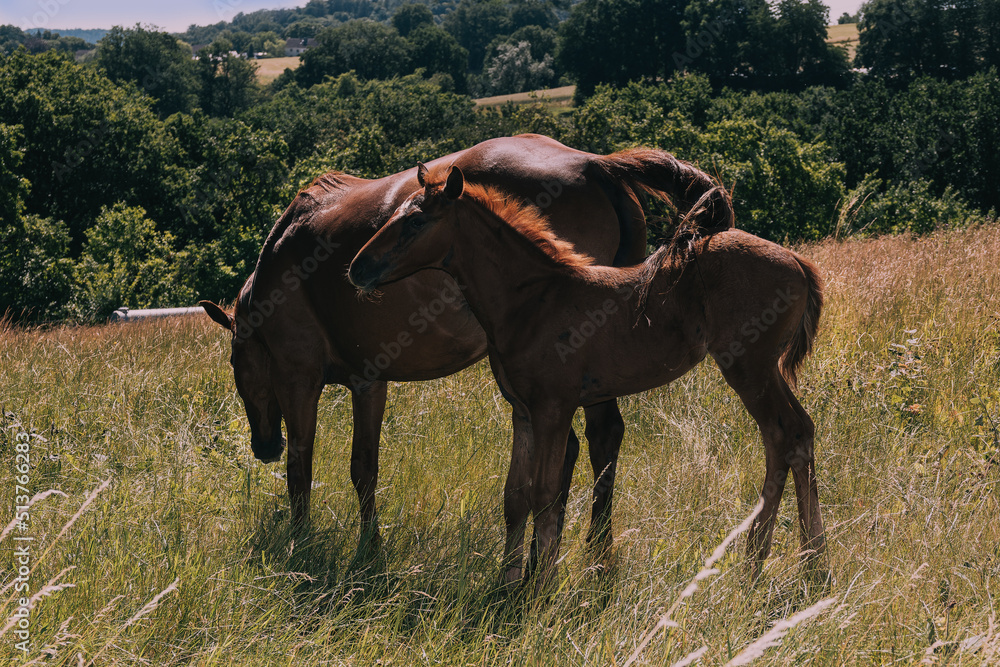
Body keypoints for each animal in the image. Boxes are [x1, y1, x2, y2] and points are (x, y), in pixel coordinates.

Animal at [199, 134, 735, 556]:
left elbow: (301, 467)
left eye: (238, 365)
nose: (263, 446)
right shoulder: (369, 381)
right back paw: (587, 557)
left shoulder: (298, 378)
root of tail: (596, 165)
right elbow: (363, 468)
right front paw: (369, 549)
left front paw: (302, 541)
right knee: (602, 441)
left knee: (583, 447)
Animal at [347, 162, 825, 590]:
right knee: (797, 433)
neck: (531, 298)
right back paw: (799, 565)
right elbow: (514, 496)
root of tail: (798, 261)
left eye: (415, 221)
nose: (357, 268)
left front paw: (540, 589)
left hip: (748, 367)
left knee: (783, 435)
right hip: (761, 370)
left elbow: (543, 494)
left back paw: (772, 563)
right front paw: (507, 583)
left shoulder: (553, 408)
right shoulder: (523, 411)